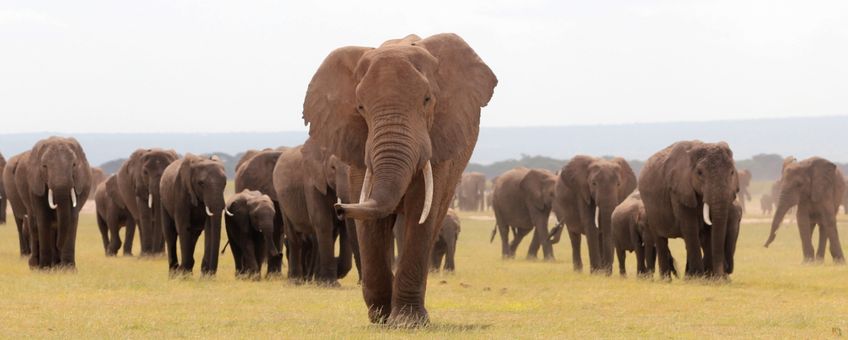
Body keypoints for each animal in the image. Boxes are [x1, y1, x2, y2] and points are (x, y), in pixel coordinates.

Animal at [16, 137, 91, 270]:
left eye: (74, 165)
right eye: (44, 166)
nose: (58, 245)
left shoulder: (77, 183)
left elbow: (72, 219)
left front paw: (68, 270)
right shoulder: (36, 185)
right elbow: (43, 219)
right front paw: (45, 269)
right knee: (34, 225)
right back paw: (36, 266)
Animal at [270, 145, 352, 284]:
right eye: (333, 168)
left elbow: (343, 227)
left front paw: (326, 280)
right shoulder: (311, 183)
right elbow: (323, 222)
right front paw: (330, 284)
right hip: (281, 200)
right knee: (295, 238)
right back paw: (295, 281)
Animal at [300, 33, 494, 326]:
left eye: (427, 99)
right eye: (360, 107)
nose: (339, 207)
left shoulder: (439, 140)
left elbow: (420, 211)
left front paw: (407, 322)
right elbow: (370, 218)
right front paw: (380, 316)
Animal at [640, 141, 740, 278]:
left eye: (732, 172)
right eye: (700, 172)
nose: (722, 274)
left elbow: (708, 231)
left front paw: (708, 278)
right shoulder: (679, 190)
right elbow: (690, 227)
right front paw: (699, 277)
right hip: (650, 209)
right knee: (660, 239)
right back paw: (666, 279)